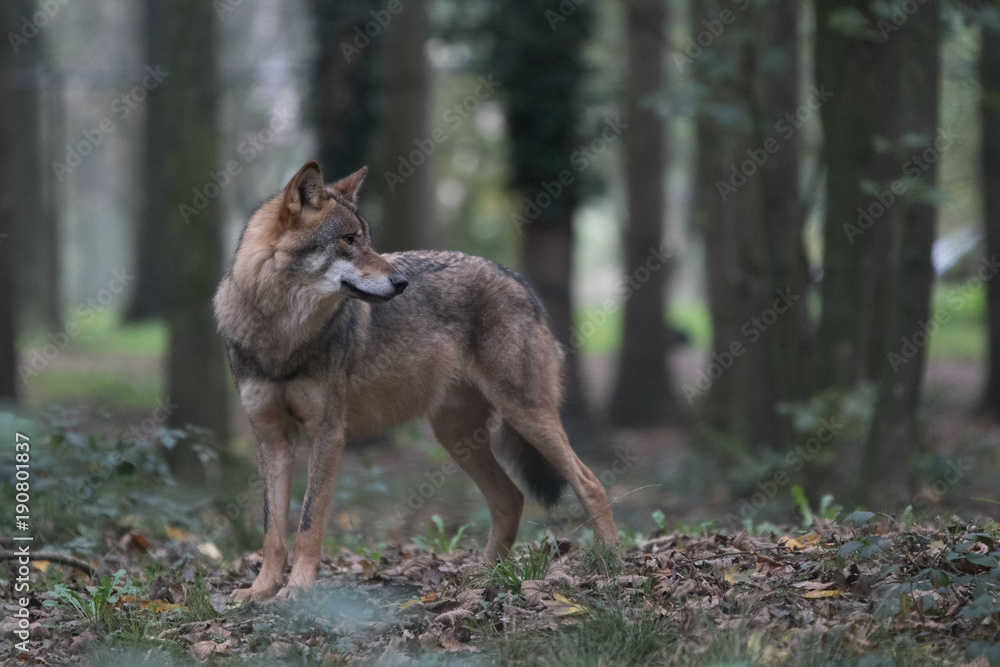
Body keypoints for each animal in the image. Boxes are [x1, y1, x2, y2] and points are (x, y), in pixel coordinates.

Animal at [214, 161, 617, 601]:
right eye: (349, 240)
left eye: (368, 240)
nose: (402, 282)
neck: (280, 335)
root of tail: (519, 281)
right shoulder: (272, 438)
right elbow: (272, 529)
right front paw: (260, 590)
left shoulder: (327, 433)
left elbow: (308, 523)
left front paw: (298, 589)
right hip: (456, 435)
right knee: (511, 498)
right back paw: (484, 578)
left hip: (526, 416)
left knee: (590, 482)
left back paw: (610, 565)